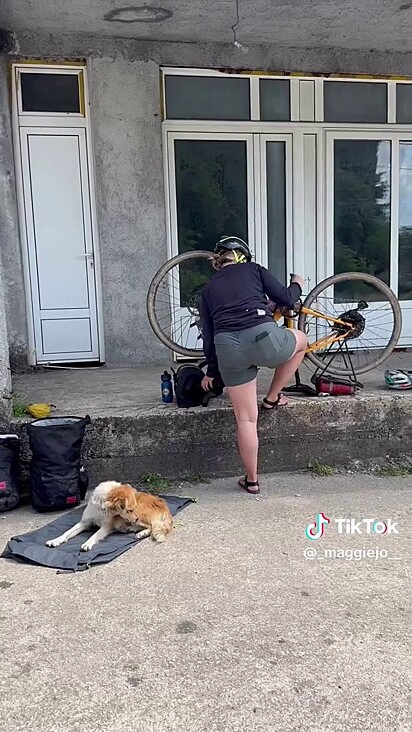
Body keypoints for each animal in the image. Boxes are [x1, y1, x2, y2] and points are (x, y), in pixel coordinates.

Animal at [45, 480, 174, 548]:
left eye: (132, 508)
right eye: (129, 510)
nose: (136, 519)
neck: (101, 507)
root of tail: (164, 506)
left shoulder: (106, 526)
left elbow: (95, 534)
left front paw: (88, 543)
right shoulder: (84, 522)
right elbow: (67, 532)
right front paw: (56, 540)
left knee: (151, 527)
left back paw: (141, 533)